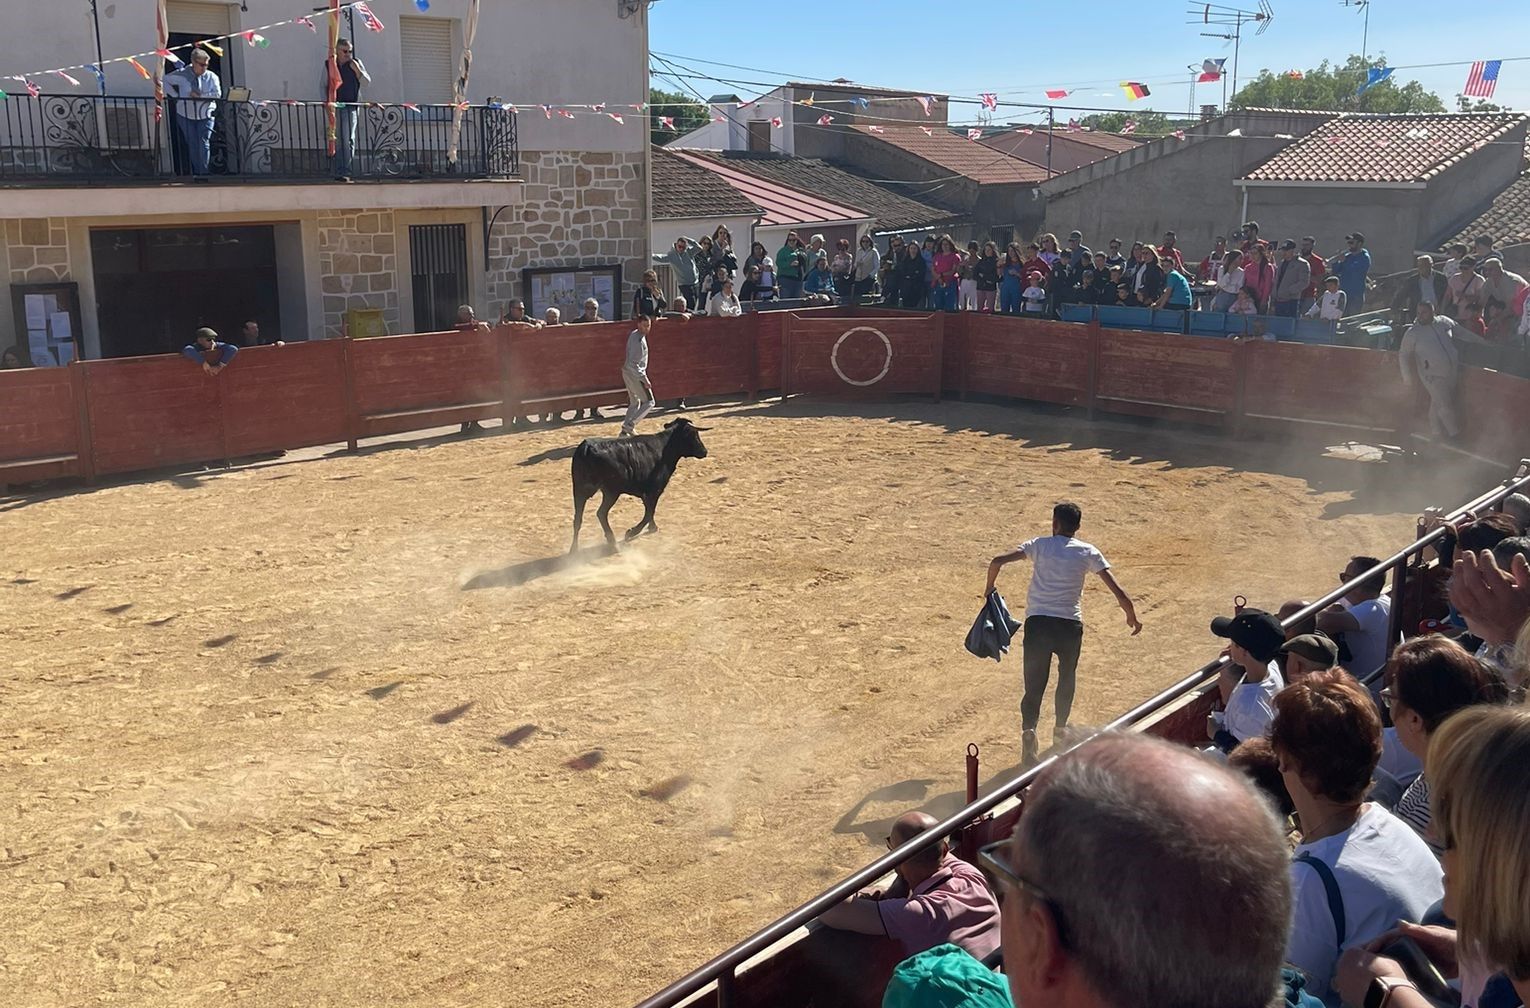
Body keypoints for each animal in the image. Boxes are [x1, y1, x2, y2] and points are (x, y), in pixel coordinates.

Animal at [569, 419, 709, 550]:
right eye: (694, 435)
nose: (705, 451)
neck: (664, 448)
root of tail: (587, 448)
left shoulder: (646, 493)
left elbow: (649, 510)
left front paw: (653, 527)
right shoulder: (654, 490)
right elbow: (649, 512)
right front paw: (631, 532)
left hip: (580, 490)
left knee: (578, 519)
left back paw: (574, 550)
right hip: (611, 491)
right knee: (601, 513)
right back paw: (613, 543)